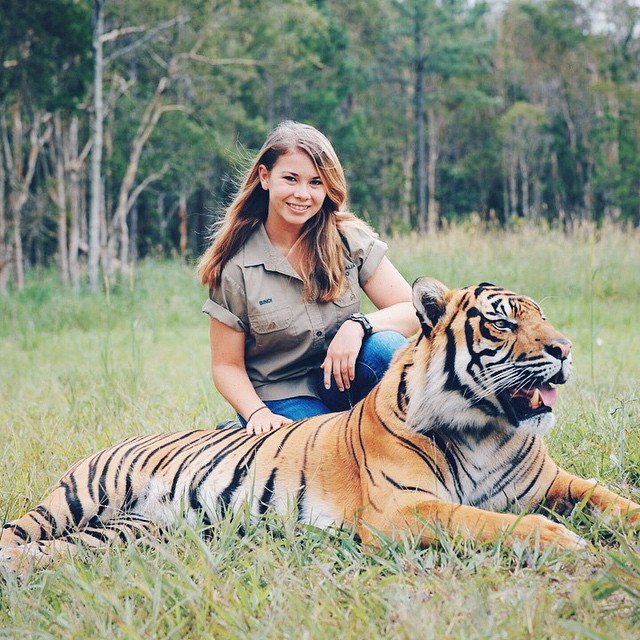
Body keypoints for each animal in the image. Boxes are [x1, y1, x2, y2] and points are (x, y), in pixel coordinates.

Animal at [2, 277, 639, 574]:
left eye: (543, 317)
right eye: (503, 323)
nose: (565, 350)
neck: (486, 427)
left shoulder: (553, 483)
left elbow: (610, 499)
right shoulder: (399, 509)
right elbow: (482, 519)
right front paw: (563, 540)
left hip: (131, 533)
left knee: (55, 552)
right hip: (77, 498)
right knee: (18, 533)